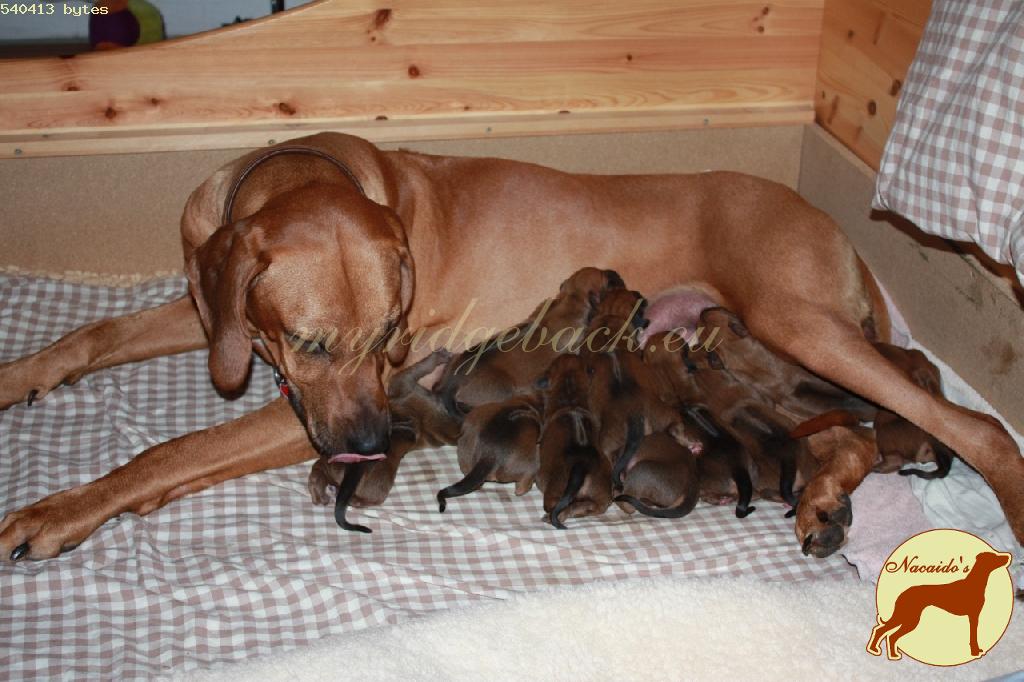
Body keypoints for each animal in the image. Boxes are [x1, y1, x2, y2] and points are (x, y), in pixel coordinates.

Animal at [2, 131, 1021, 561]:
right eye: (309, 342)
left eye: (387, 338)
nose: (366, 444)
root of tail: (839, 228)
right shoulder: (217, 314)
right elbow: (91, 334)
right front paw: (21, 374)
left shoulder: (318, 406)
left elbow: (168, 453)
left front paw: (60, 511)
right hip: (789, 354)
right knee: (850, 435)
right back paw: (821, 502)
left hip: (797, 321)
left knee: (971, 427)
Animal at [866, 551, 1012, 659]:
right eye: (994, 557)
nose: (1008, 557)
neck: (974, 584)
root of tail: (903, 593)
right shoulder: (973, 616)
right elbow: (973, 636)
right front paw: (975, 652)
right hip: (909, 618)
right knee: (887, 633)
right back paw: (882, 652)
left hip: (906, 617)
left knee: (886, 633)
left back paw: (884, 652)